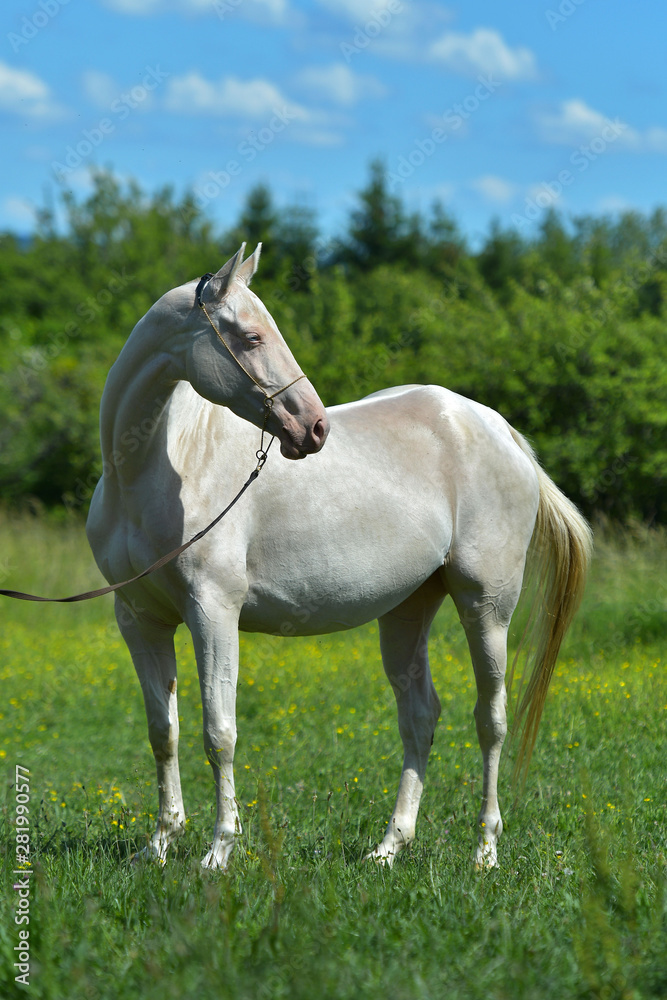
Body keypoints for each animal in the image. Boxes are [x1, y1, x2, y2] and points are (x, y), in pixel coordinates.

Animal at [86, 246, 592, 872]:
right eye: (252, 336)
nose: (314, 426)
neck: (157, 467)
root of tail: (501, 432)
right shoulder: (139, 619)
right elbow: (164, 730)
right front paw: (160, 842)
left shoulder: (213, 613)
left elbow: (219, 732)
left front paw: (219, 850)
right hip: (407, 610)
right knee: (420, 718)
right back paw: (390, 846)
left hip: (487, 607)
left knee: (491, 721)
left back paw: (484, 850)